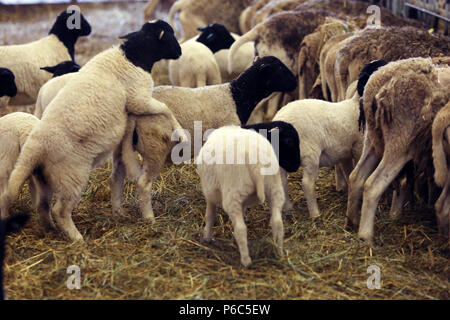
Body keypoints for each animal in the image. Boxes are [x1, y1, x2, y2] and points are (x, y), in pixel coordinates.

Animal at [4, 20, 186, 241]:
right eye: (169, 33)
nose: (180, 51)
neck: (133, 57)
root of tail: (34, 147)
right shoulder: (139, 99)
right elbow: (165, 109)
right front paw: (181, 132)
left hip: (44, 177)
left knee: (43, 205)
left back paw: (51, 229)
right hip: (72, 175)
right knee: (60, 210)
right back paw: (77, 238)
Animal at [197, 125, 284, 268]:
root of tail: (256, 162)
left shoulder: (209, 193)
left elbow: (209, 215)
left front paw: (207, 237)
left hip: (233, 192)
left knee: (241, 228)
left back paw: (246, 260)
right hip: (274, 187)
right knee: (277, 222)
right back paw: (279, 252)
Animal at [346, 57, 448, 244]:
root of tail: (379, 84)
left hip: (373, 138)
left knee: (356, 177)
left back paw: (352, 221)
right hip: (400, 141)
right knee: (373, 185)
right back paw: (365, 236)